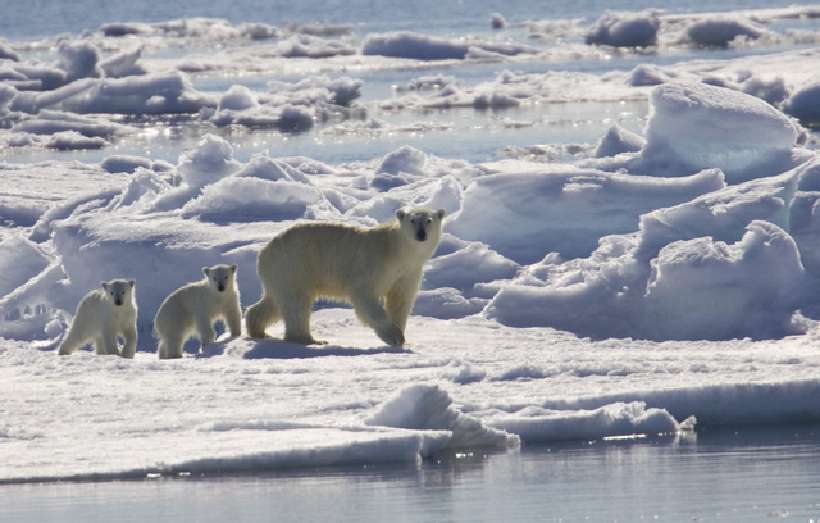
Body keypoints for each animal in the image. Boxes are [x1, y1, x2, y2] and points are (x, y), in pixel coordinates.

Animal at [245, 207, 445, 346]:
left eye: (429, 220)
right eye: (412, 220)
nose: (421, 234)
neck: (395, 250)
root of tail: (264, 251)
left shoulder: (409, 271)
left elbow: (400, 300)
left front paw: (401, 336)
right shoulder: (373, 265)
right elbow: (365, 297)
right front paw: (393, 336)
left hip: (282, 272)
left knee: (275, 302)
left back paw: (258, 329)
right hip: (293, 265)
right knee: (296, 303)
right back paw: (308, 339)